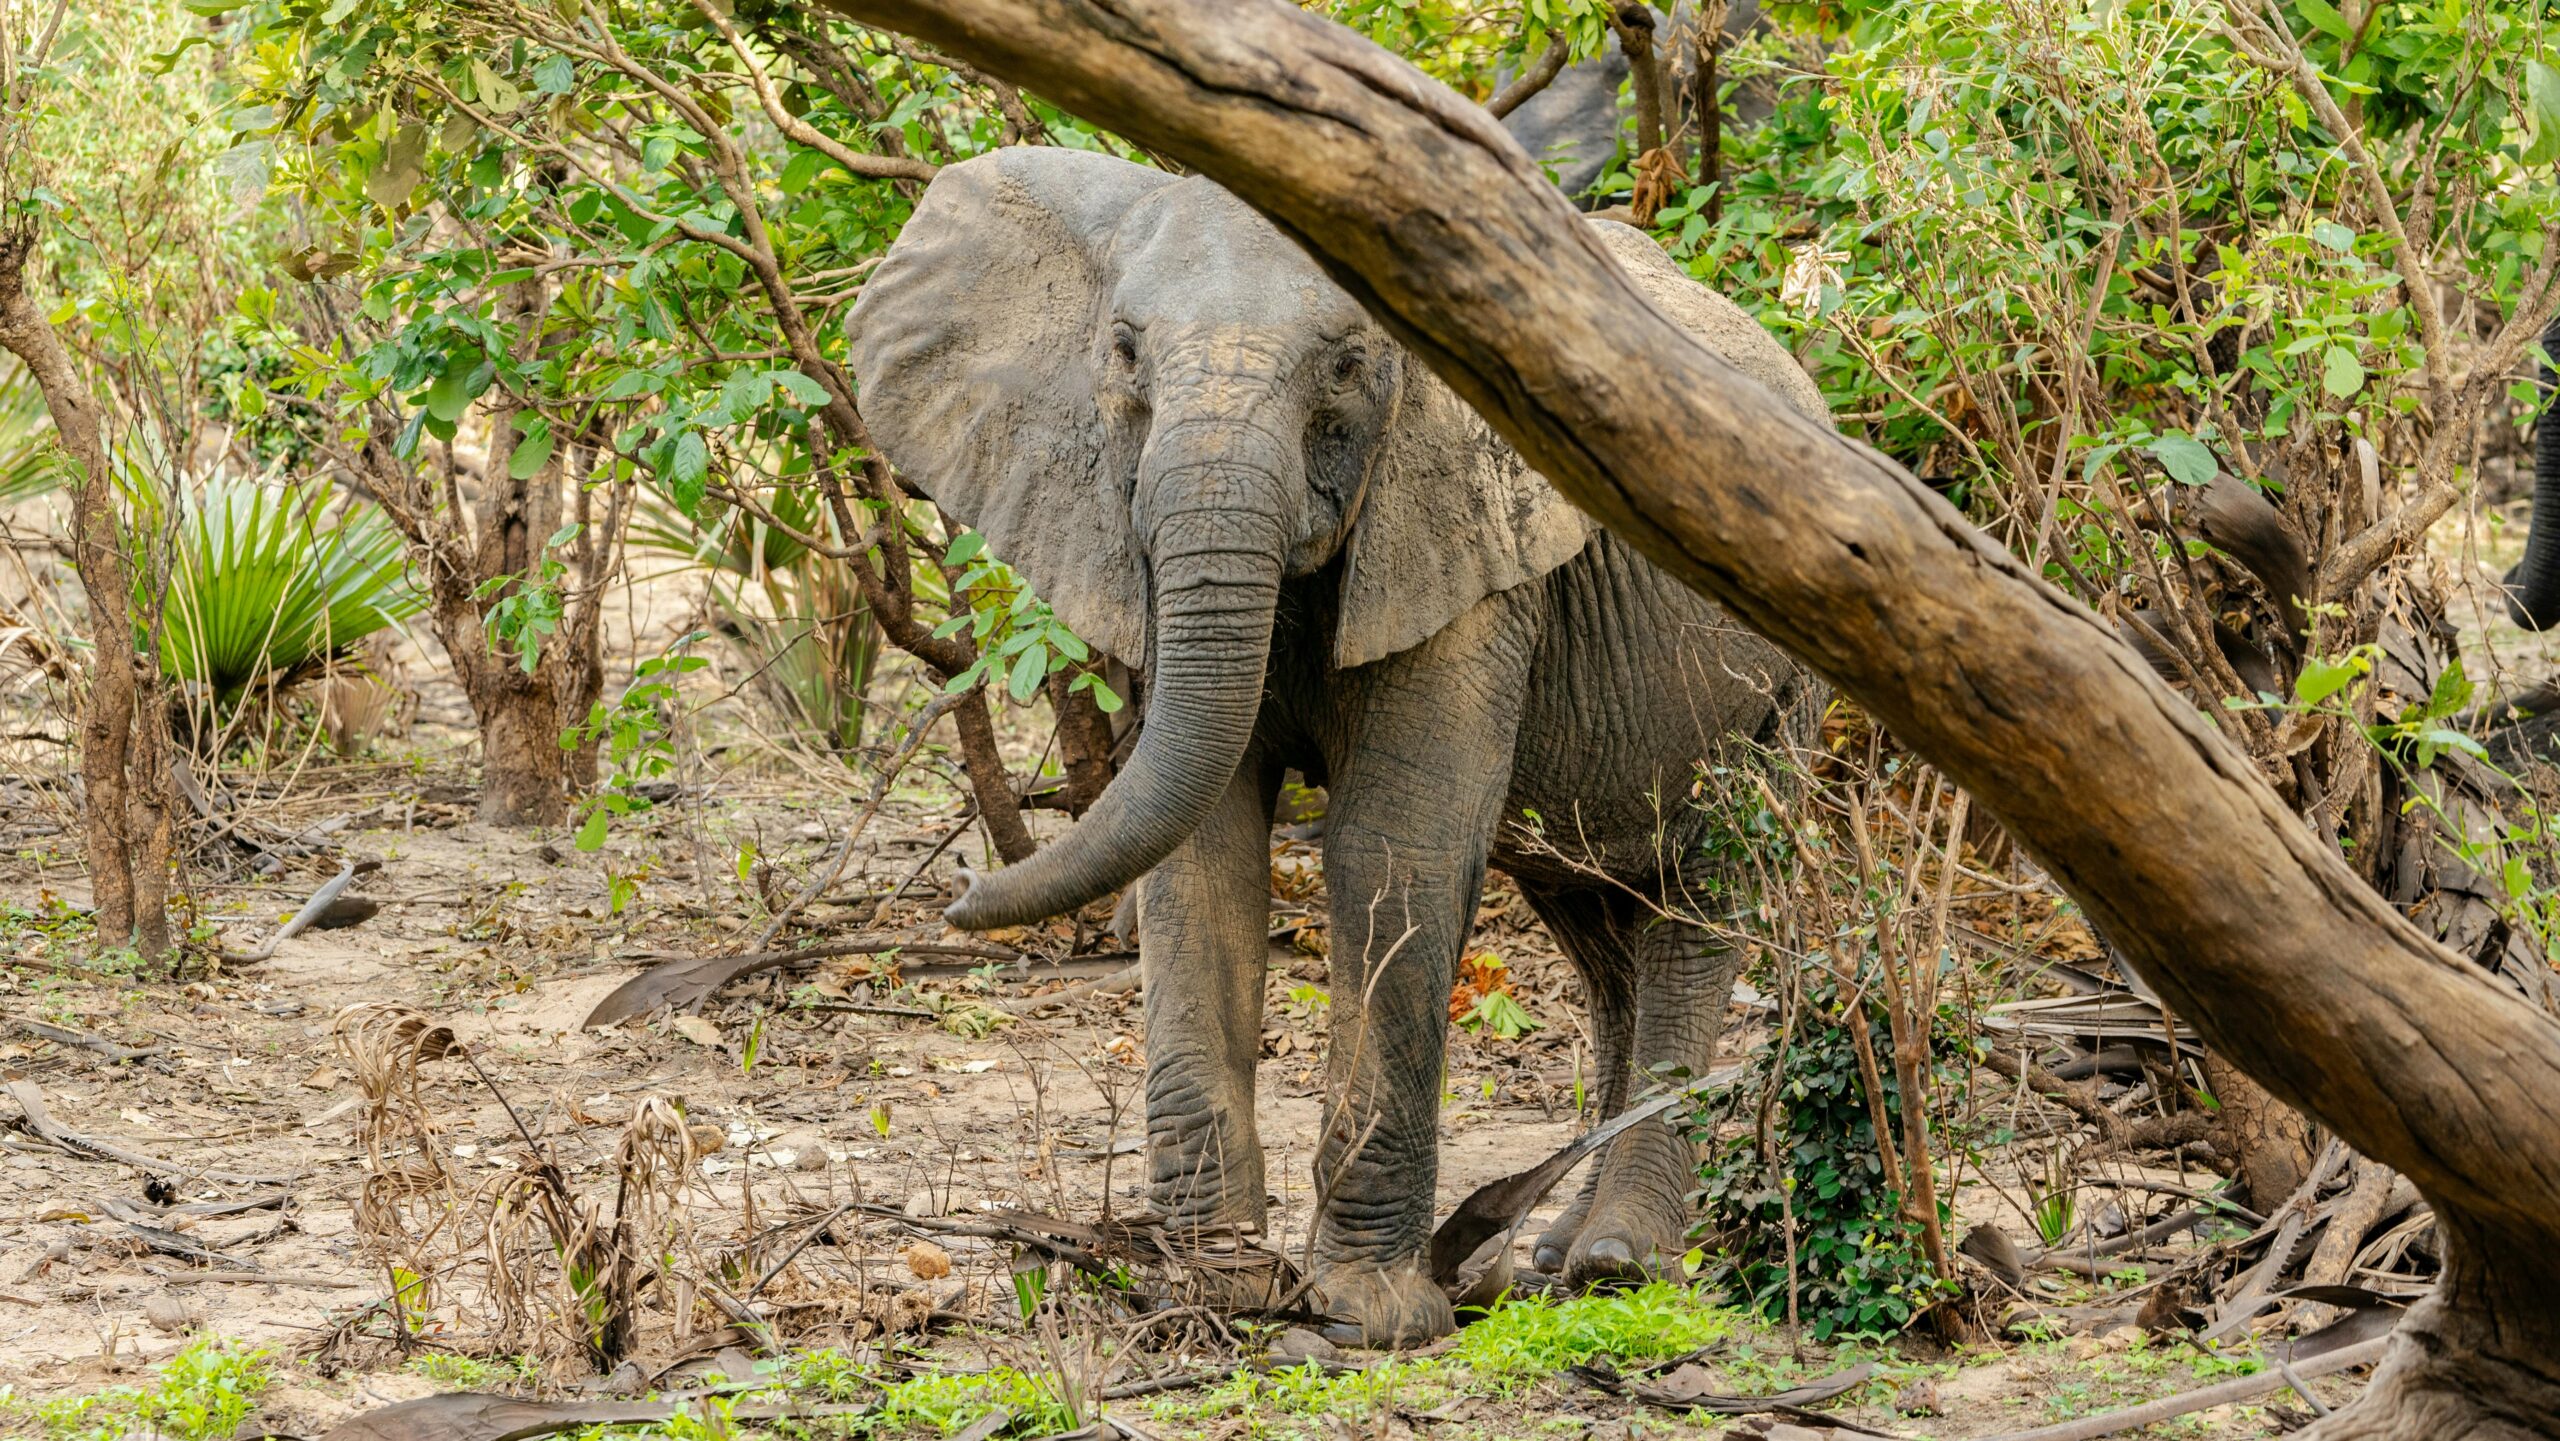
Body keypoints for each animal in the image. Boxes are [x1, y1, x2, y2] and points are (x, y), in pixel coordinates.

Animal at [848, 147, 1831, 1345]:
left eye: (1352, 362)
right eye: (1122, 350)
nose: (953, 898)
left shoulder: (1465, 538)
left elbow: (1391, 848)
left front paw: (1366, 1315)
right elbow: (1202, 854)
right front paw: (1216, 1289)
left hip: (1785, 674)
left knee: (1697, 900)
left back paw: (1617, 1262)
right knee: (1599, 930)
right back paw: (1546, 1258)